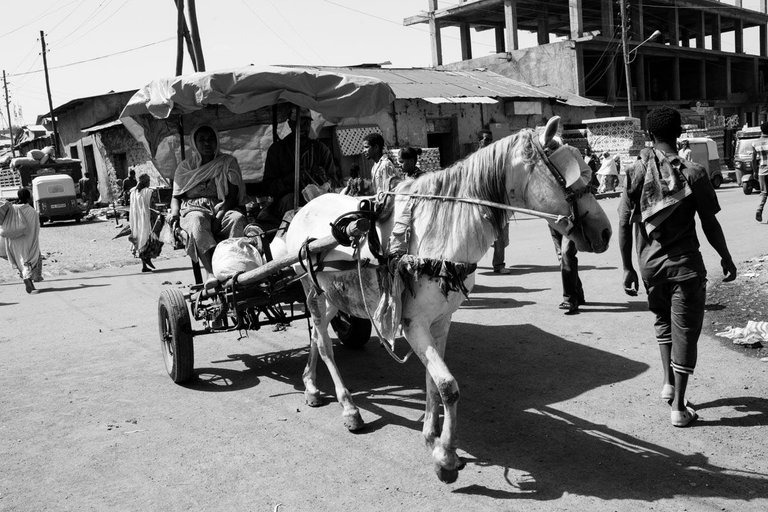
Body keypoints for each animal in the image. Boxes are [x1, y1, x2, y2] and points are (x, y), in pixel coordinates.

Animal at [284, 119, 612, 484]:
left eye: (588, 171)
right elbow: (448, 385)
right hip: (311, 290)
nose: (605, 232)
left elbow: (433, 382)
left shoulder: (441, 321)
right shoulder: (413, 324)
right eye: (570, 175)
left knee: (317, 335)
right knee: (326, 345)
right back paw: (349, 409)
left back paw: (311, 387)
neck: (438, 235)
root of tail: (302, 210)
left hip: (331, 295)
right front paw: (446, 458)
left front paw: (432, 438)